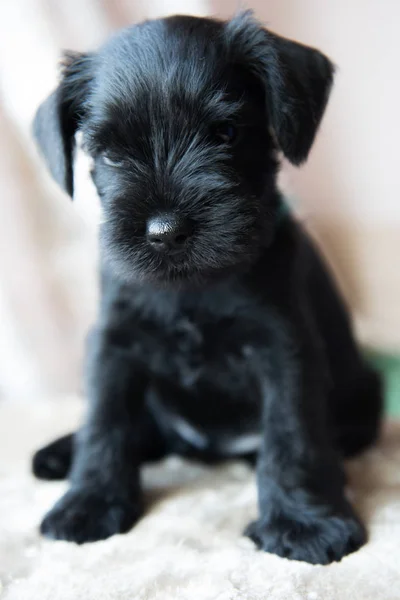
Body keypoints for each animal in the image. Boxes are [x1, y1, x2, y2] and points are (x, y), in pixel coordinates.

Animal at [31, 10, 382, 564]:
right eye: (109, 155)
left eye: (226, 132)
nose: (165, 231)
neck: (191, 288)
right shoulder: (114, 344)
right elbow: (104, 421)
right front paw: (89, 502)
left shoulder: (283, 347)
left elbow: (292, 435)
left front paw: (303, 522)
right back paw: (57, 453)